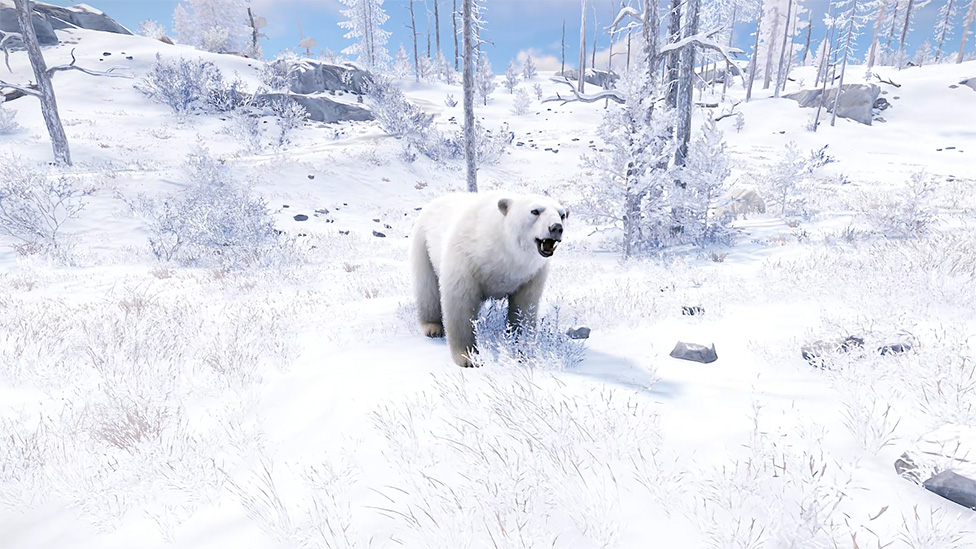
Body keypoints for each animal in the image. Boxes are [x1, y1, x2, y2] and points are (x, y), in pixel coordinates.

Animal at [410, 192, 568, 368]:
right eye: (535, 211)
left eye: (562, 215)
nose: (556, 227)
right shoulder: (465, 258)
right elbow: (460, 304)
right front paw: (468, 358)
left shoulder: (531, 274)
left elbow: (525, 308)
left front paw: (523, 351)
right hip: (423, 243)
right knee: (427, 287)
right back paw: (432, 327)